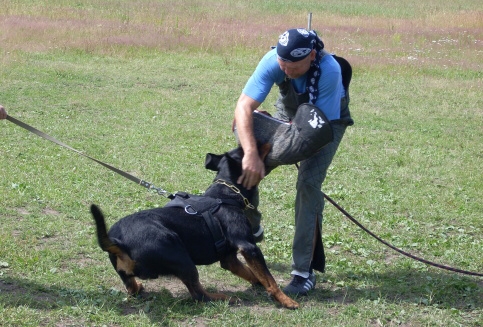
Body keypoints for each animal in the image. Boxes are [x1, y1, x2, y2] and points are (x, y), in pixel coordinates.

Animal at [91, 145, 298, 310]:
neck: (226, 195)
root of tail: (118, 242)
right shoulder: (249, 247)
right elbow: (270, 279)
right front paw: (286, 300)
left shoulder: (229, 258)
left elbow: (251, 273)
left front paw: (258, 284)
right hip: (181, 258)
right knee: (199, 295)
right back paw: (225, 298)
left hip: (128, 273)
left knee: (132, 288)